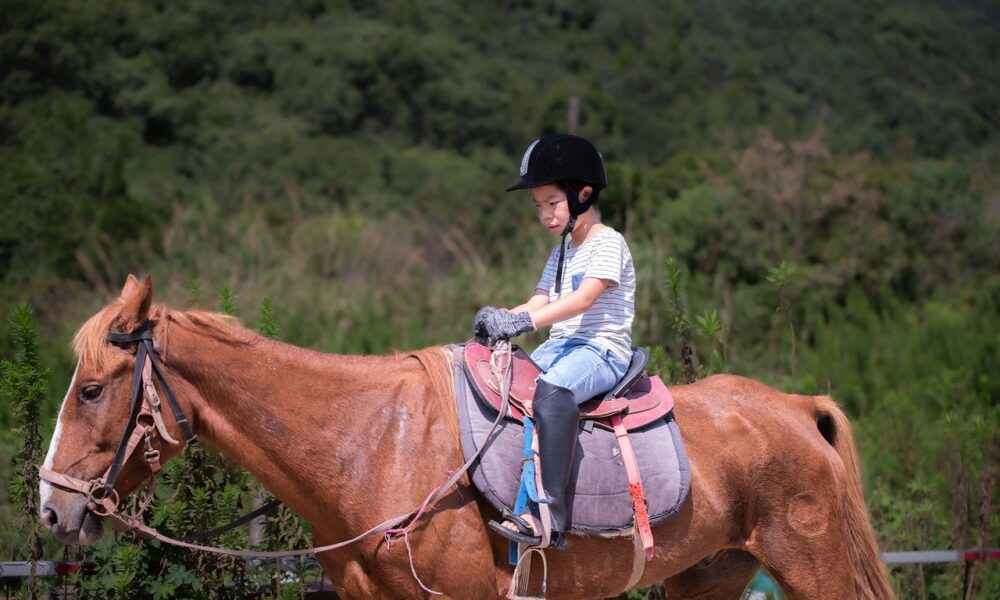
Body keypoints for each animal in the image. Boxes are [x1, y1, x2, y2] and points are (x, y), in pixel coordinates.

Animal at [37, 278, 892, 600]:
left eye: (91, 389)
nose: (50, 507)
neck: (370, 443)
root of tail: (795, 407)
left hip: (813, 568)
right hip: (708, 575)